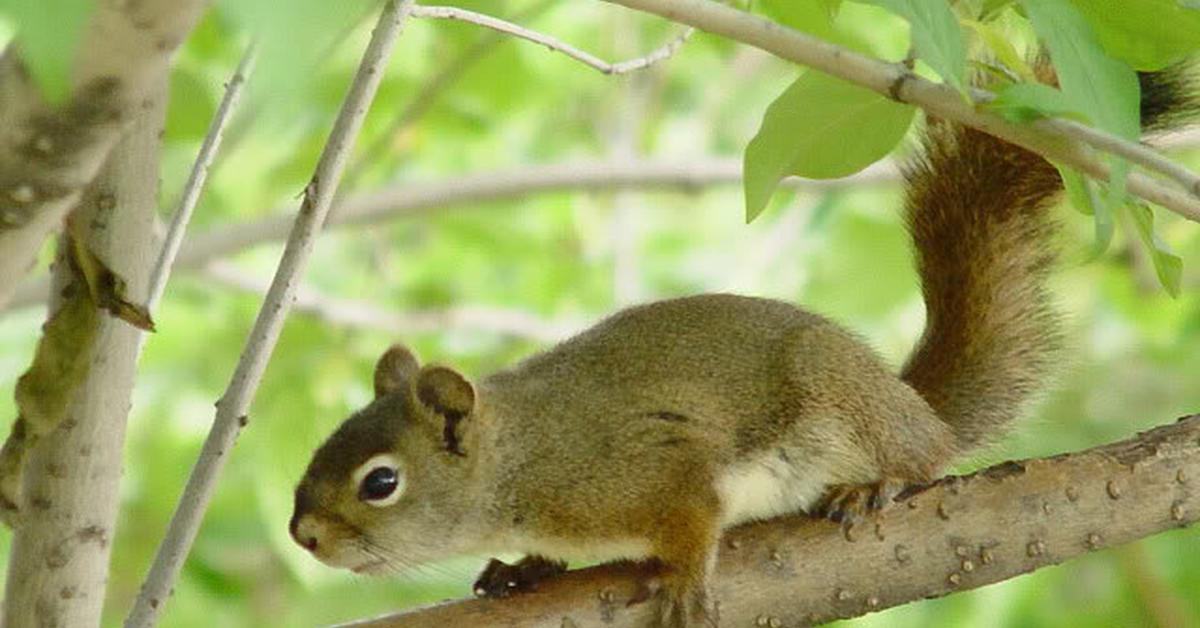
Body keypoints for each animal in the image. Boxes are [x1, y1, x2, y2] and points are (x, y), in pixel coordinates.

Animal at [285, 66, 1195, 624]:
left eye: (380, 483)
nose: (303, 537)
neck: (522, 460)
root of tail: (911, 401)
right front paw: (525, 568)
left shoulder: (648, 469)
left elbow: (693, 518)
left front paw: (687, 581)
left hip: (840, 401)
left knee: (925, 455)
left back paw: (878, 481)